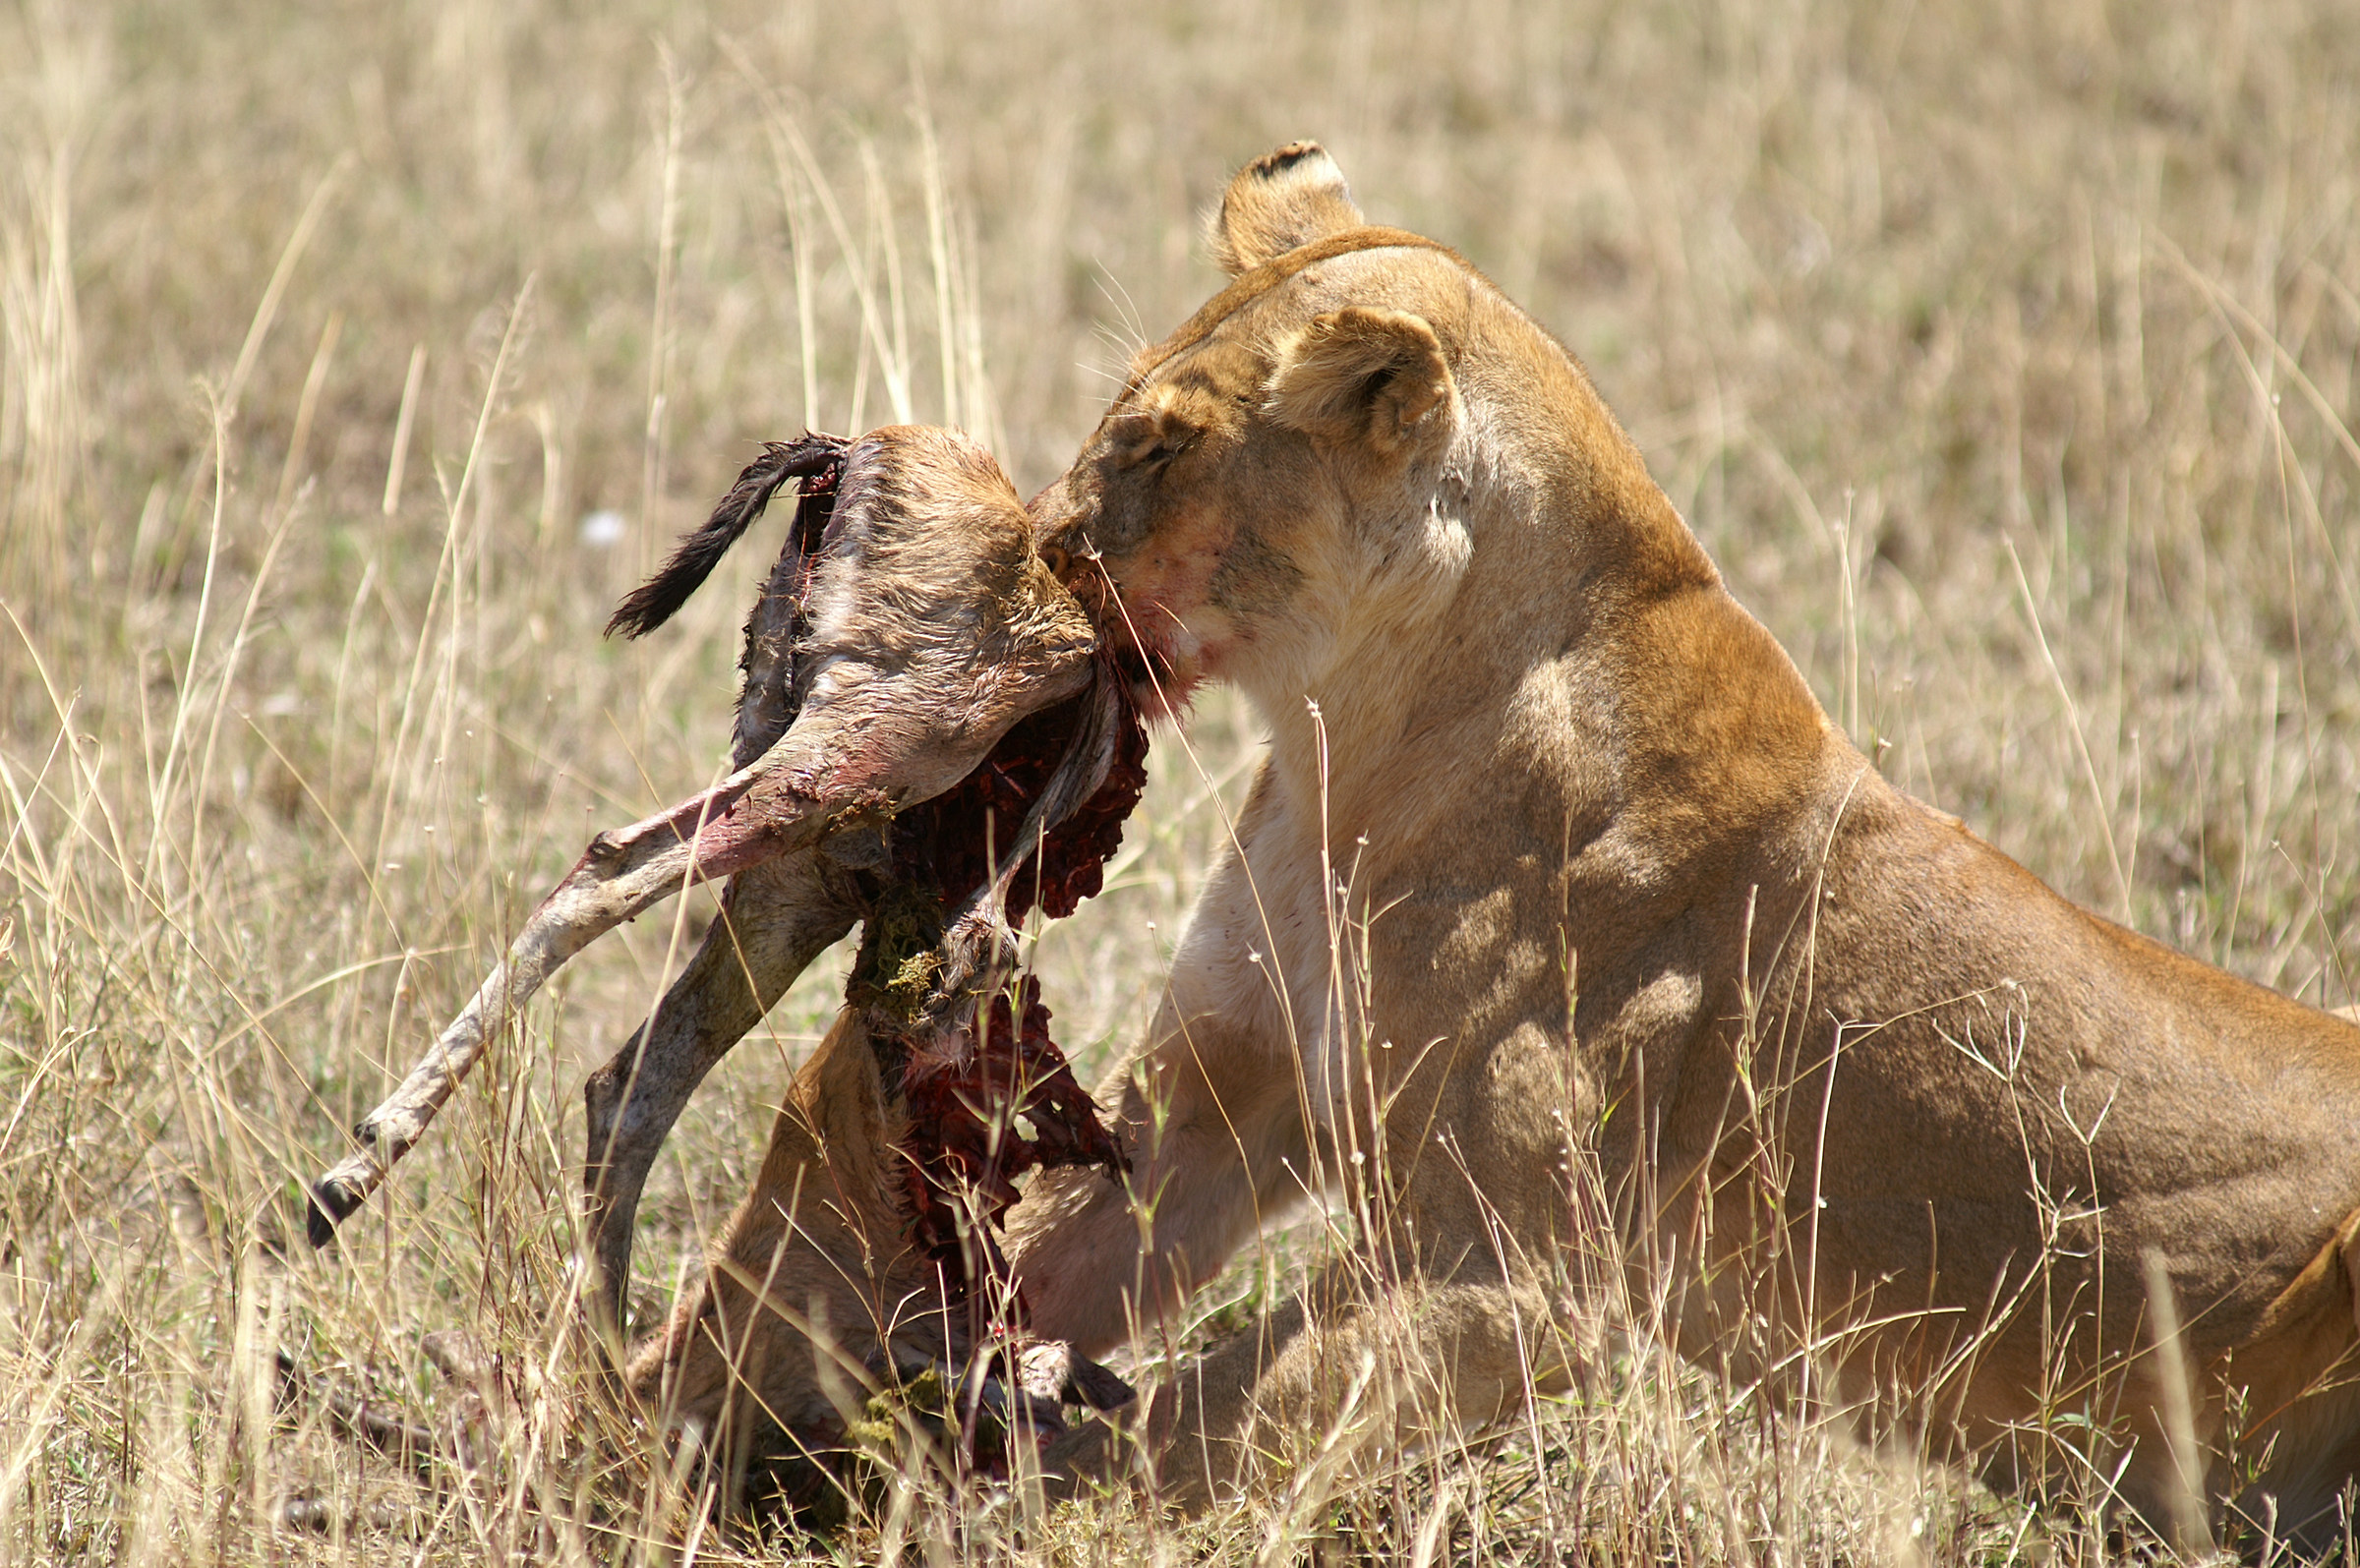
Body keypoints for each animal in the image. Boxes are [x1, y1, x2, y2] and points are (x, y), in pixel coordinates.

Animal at [980, 142, 2360, 1548]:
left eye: (1161, 444)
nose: (1023, 549)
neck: (1343, 750)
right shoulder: (1215, 1088)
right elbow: (1020, 1254)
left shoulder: (1517, 1272)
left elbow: (1193, 1421)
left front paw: (981, 1499)